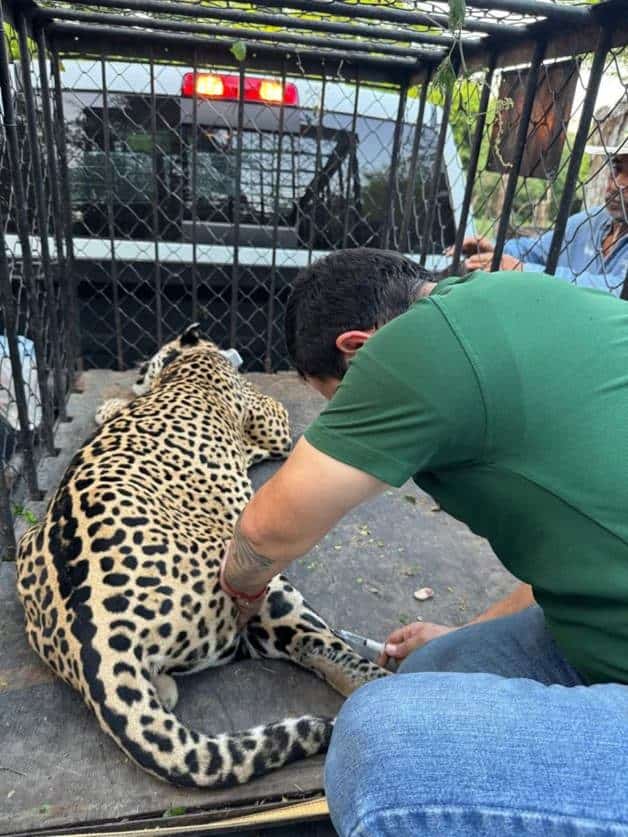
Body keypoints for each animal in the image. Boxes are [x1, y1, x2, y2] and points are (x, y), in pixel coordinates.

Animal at [15, 324, 388, 790]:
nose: (136, 373)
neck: (186, 363)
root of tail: (91, 641)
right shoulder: (274, 422)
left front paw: (111, 406)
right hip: (257, 576)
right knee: (326, 646)